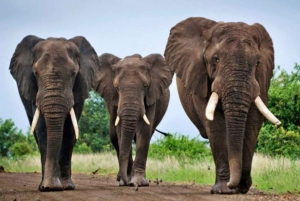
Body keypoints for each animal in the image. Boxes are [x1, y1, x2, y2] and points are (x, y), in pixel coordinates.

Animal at [164, 17, 282, 195]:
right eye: (216, 59)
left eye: (257, 62)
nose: (235, 185)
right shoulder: (200, 78)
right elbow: (216, 125)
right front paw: (223, 190)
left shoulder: (261, 81)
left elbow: (253, 122)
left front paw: (241, 187)